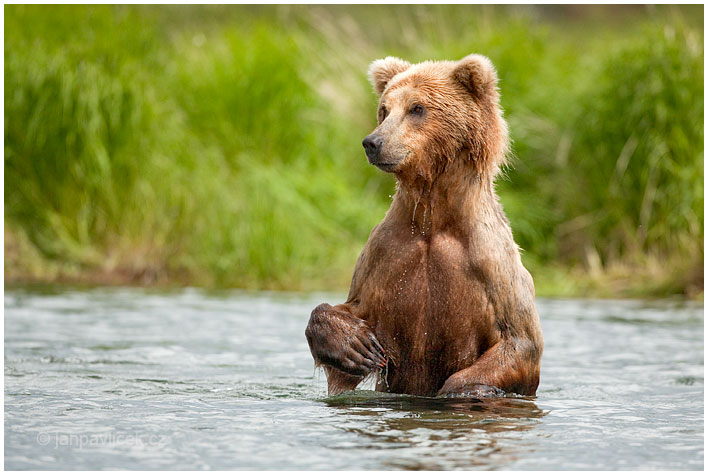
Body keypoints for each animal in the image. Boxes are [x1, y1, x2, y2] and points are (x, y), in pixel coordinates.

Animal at [304, 54, 544, 398]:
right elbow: (349, 310)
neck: (433, 219)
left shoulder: (491, 265)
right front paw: (357, 346)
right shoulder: (385, 255)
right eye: (384, 109)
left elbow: (520, 342)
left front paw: (458, 390)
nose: (372, 142)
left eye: (417, 108)